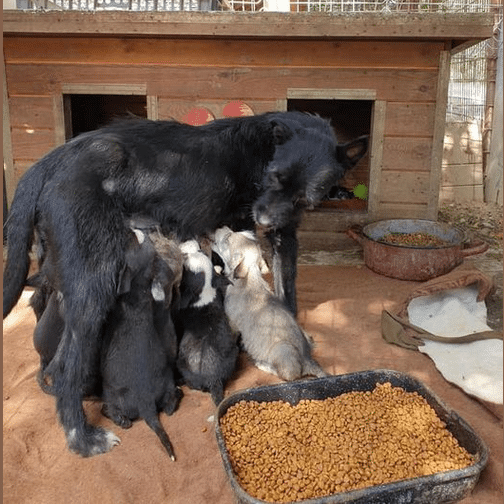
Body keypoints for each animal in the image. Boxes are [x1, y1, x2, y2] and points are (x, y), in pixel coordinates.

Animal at [100, 228, 181, 460]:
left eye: (134, 242)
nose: (135, 229)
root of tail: (147, 405)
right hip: (167, 383)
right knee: (170, 406)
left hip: (113, 394)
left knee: (120, 418)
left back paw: (111, 414)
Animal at [212, 226, 326, 380]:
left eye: (227, 238)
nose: (221, 227)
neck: (250, 277)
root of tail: (308, 360)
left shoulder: (232, 323)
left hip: (282, 350)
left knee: (289, 375)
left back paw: (262, 364)